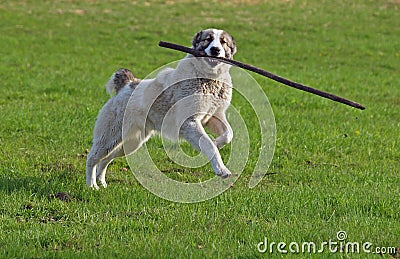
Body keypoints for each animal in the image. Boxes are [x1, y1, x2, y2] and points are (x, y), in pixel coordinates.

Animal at [86, 29, 238, 190]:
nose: (215, 50)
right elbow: (209, 146)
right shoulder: (190, 123)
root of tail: (127, 84)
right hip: (109, 137)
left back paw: (101, 182)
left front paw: (218, 142)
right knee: (92, 158)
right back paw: (91, 185)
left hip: (131, 142)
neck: (209, 79)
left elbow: (228, 134)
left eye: (223, 42)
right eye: (208, 39)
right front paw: (221, 169)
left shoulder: (213, 117)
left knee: (105, 159)